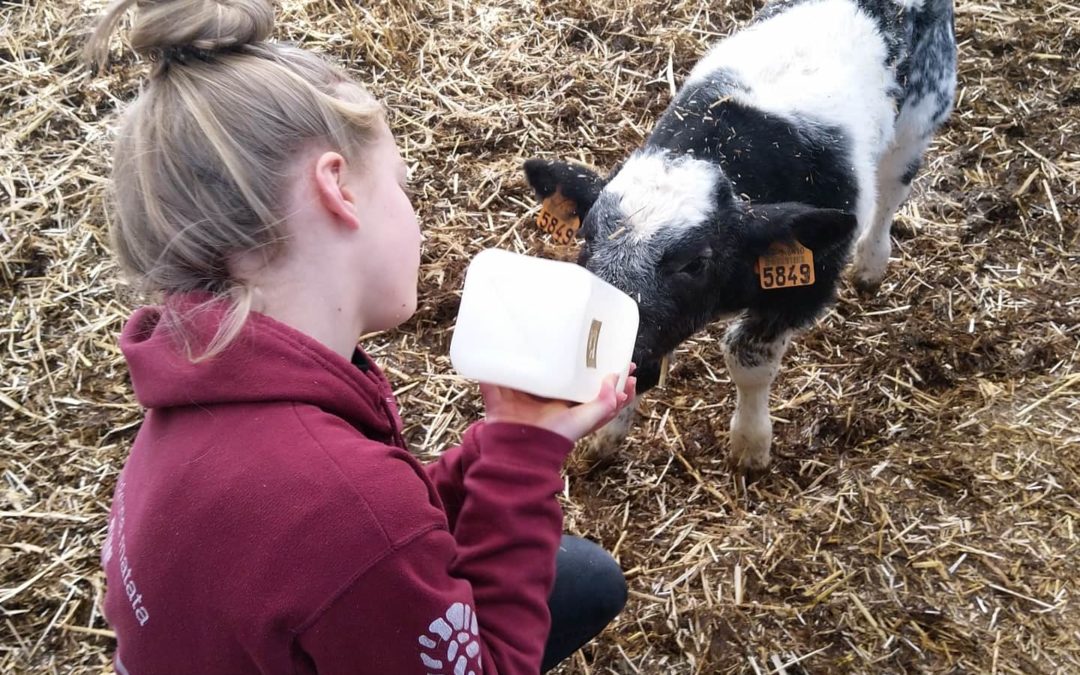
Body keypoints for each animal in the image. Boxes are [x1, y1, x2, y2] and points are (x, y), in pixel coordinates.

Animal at [522, 0, 954, 468]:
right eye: (587, 239)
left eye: (695, 263)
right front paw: (605, 435)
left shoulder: (807, 282)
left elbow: (748, 361)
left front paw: (750, 444)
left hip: (921, 114)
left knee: (894, 188)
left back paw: (872, 263)